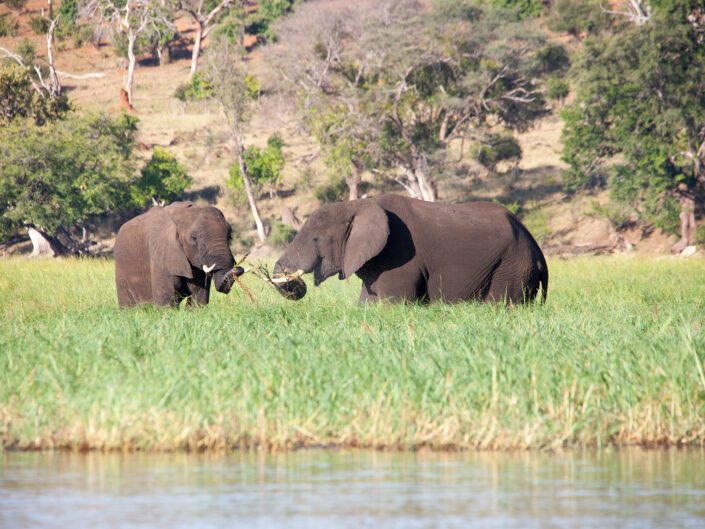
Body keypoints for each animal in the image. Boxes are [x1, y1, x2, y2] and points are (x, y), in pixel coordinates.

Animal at [114, 201, 243, 308]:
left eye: (230, 236)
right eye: (193, 238)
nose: (238, 269)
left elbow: (200, 298)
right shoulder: (160, 254)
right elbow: (166, 302)